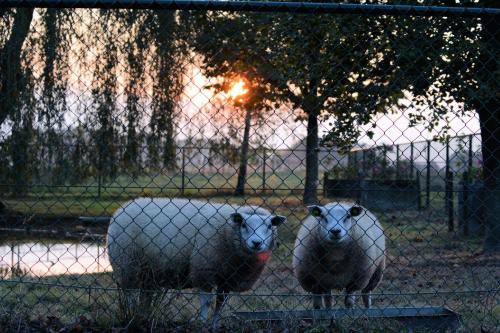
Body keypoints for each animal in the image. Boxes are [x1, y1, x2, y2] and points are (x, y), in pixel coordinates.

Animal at [105, 196, 286, 322]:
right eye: (244, 225)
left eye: (269, 226)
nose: (256, 243)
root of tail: (123, 207)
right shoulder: (204, 270)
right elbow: (206, 302)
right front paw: (203, 322)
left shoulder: (228, 278)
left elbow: (220, 305)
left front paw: (215, 324)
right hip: (127, 264)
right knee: (129, 294)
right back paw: (131, 314)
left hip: (148, 271)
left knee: (146, 295)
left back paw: (142, 316)